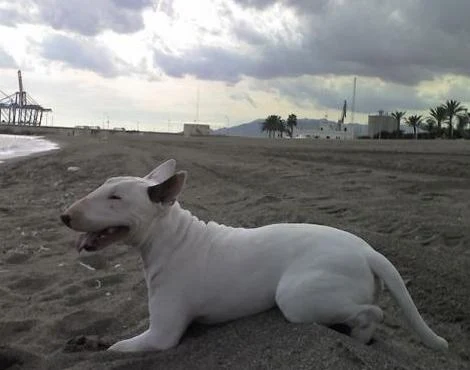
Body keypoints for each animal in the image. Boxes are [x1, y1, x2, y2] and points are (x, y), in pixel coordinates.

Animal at [61, 159, 448, 352]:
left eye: (116, 198)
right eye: (104, 187)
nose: (64, 216)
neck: (172, 239)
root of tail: (369, 252)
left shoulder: (162, 334)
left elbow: (117, 349)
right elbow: (112, 340)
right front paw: (86, 341)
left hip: (296, 295)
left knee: (373, 313)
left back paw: (359, 335)